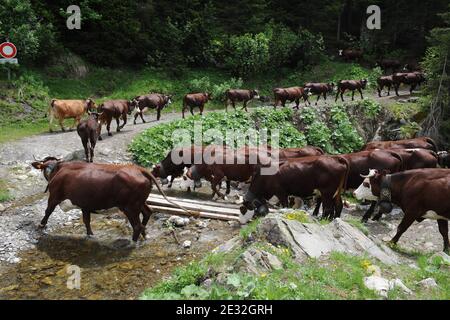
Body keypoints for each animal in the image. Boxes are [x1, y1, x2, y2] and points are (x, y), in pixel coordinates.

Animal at [31, 156, 186, 241]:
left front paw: (41, 225)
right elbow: (86, 221)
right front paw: (90, 235)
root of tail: (139, 169)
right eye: (44, 167)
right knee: (147, 213)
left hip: (129, 207)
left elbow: (47, 211)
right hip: (140, 202)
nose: (48, 174)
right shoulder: (85, 205)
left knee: (137, 226)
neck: (58, 170)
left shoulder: (54, 196)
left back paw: (133, 242)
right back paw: (145, 236)